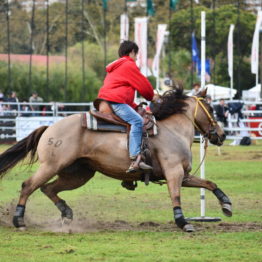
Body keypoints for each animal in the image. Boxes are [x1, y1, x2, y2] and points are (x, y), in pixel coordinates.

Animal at [0, 89, 231, 232]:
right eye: (211, 109)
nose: (221, 135)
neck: (172, 130)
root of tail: (49, 127)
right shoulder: (174, 173)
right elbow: (176, 197)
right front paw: (183, 222)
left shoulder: (184, 175)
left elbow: (209, 183)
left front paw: (226, 204)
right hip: (51, 166)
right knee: (28, 185)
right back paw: (19, 220)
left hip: (78, 174)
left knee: (48, 188)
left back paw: (66, 213)